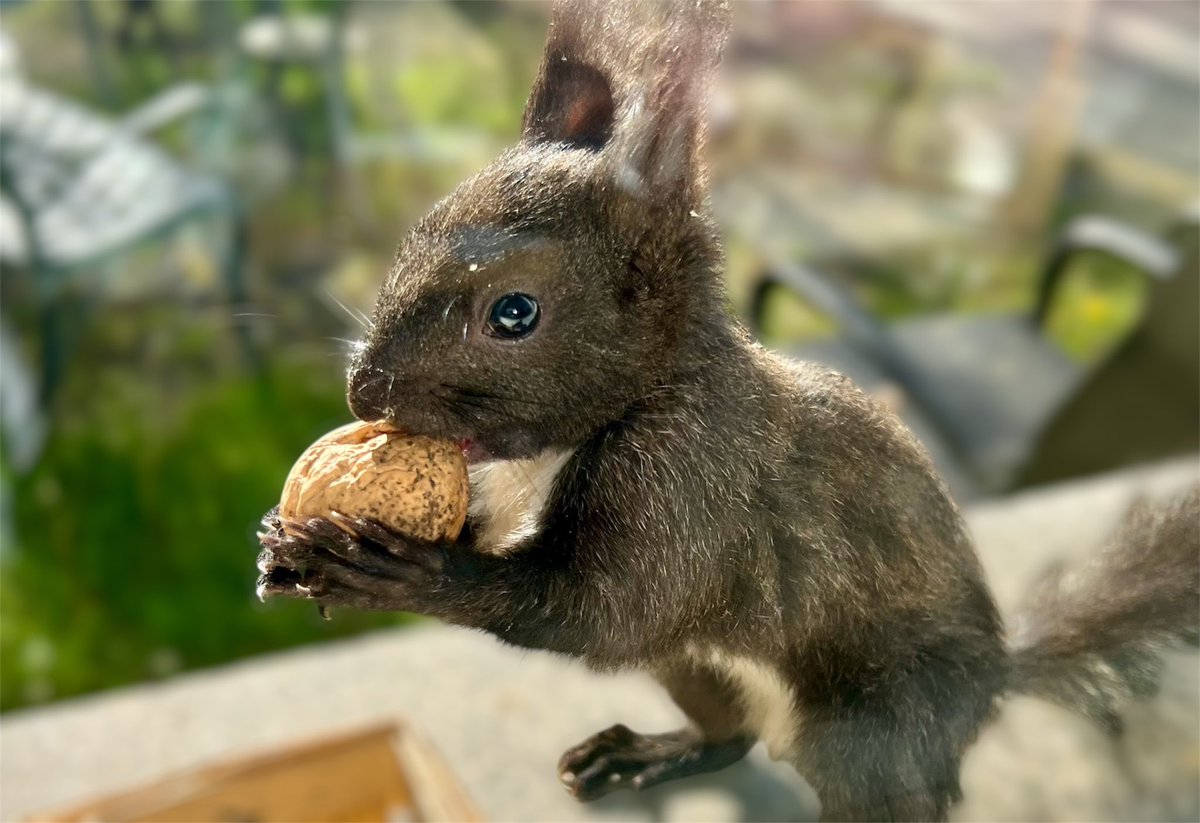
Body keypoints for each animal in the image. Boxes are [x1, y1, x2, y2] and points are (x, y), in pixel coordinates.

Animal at [256, 1, 1200, 819]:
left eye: (514, 312)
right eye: (412, 238)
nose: (364, 394)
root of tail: (993, 680)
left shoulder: (692, 478)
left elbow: (600, 609)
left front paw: (395, 569)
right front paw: (284, 545)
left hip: (874, 731)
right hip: (695, 665)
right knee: (732, 733)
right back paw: (651, 753)